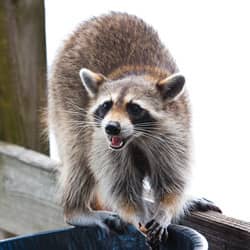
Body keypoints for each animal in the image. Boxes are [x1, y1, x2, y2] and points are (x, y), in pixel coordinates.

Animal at [47, 11, 221, 244]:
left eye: (134, 108)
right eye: (106, 105)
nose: (111, 128)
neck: (137, 137)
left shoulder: (175, 136)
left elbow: (172, 183)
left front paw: (165, 210)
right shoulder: (104, 145)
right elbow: (121, 189)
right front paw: (139, 214)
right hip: (65, 101)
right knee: (79, 159)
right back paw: (75, 209)